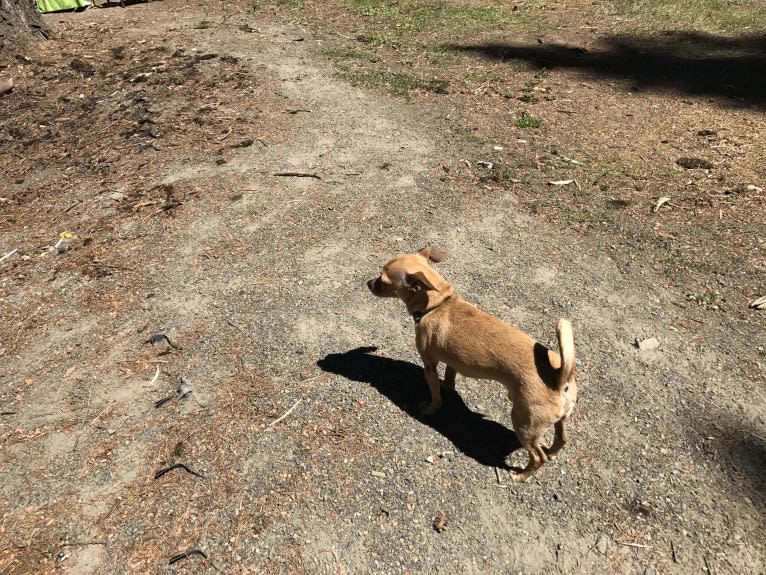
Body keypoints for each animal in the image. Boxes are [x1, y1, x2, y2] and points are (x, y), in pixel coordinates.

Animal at [368, 248, 580, 482]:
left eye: (383, 281)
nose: (368, 283)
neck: (438, 304)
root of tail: (558, 377)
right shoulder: (452, 361)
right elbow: (449, 378)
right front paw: (448, 387)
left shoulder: (429, 366)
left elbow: (435, 395)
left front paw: (430, 408)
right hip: (559, 420)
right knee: (562, 438)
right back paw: (551, 453)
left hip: (524, 425)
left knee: (537, 457)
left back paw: (521, 476)